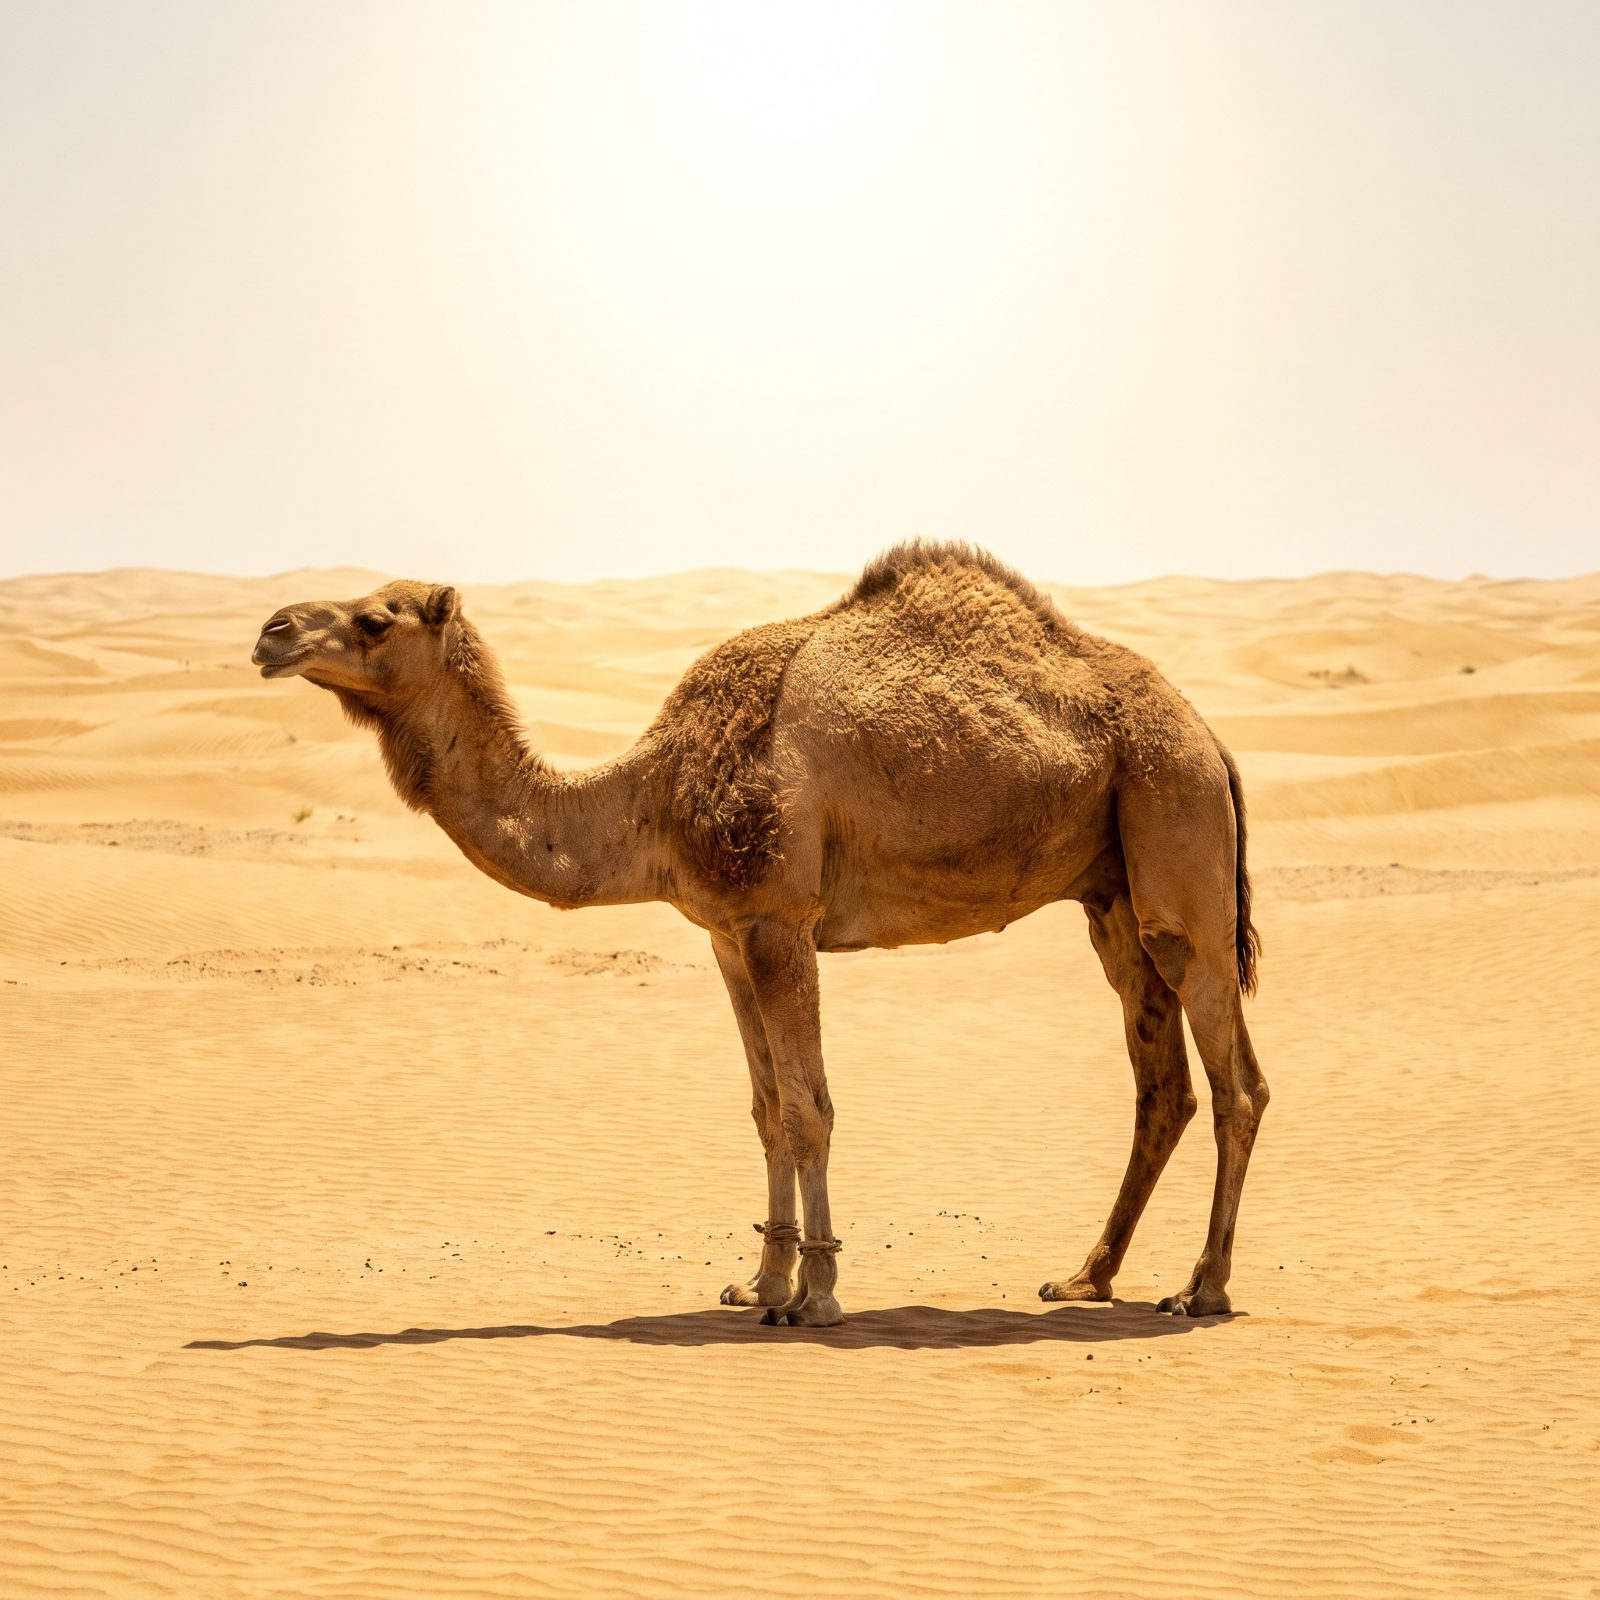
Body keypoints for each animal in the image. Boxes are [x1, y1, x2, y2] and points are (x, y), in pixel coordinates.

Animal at [252, 541, 1267, 1327]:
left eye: (375, 619)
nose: (271, 631)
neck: (655, 793)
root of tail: (1212, 737)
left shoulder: (782, 918)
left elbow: (810, 1107)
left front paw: (815, 1295)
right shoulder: (725, 931)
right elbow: (765, 1107)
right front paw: (762, 1279)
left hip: (1173, 822)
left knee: (1237, 1082)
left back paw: (1202, 1290)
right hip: (1112, 891)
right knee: (1162, 1085)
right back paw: (1087, 1277)